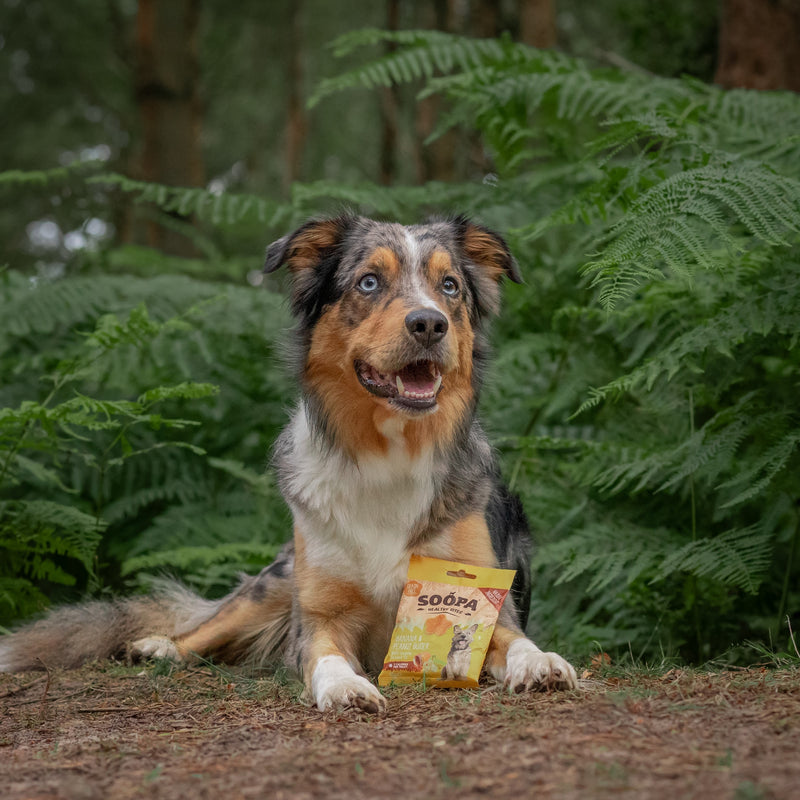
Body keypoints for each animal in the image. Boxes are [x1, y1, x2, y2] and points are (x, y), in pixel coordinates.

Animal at [0, 214, 580, 712]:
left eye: (451, 287)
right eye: (369, 282)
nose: (429, 324)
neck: (389, 453)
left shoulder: (489, 601)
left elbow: (519, 641)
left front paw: (543, 663)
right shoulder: (318, 617)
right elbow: (324, 656)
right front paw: (346, 686)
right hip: (275, 582)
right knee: (204, 630)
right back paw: (158, 646)